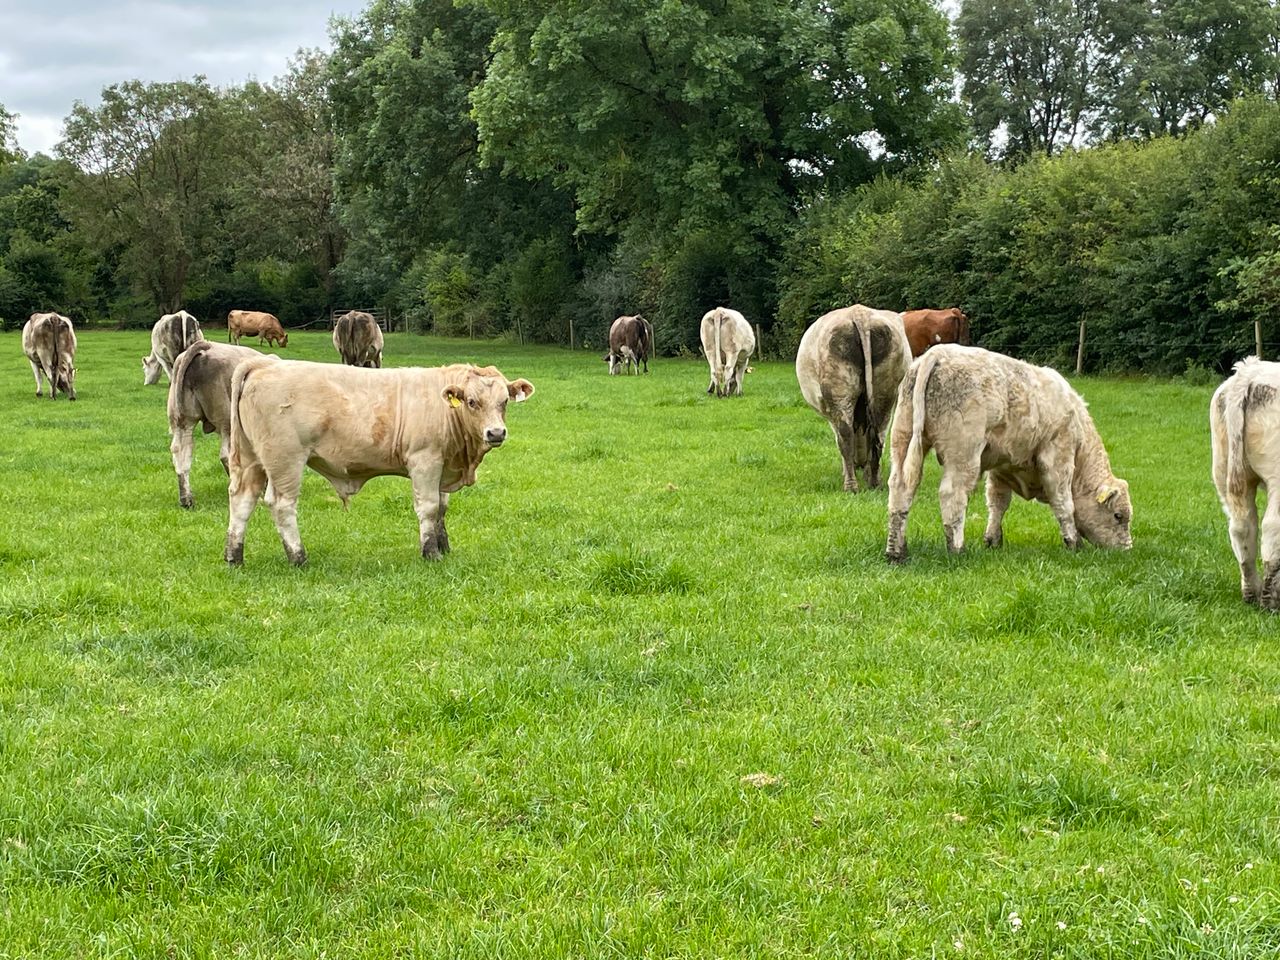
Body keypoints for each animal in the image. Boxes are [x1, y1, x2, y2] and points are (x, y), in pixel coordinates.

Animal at [166, 340, 262, 509]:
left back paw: (186, 499)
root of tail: (207, 346)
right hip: (227, 420)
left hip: (182, 420)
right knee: (226, 455)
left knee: (181, 452)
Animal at [224, 359, 534, 565]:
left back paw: (234, 556)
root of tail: (265, 362)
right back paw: (298, 557)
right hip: (285, 460)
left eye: (504, 401)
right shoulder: (425, 460)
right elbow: (429, 507)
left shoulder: (444, 464)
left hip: (252, 460)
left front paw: (444, 546)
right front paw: (430, 552)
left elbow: (442, 508)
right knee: (281, 505)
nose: (496, 433)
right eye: (471, 402)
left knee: (242, 500)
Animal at [796, 304, 912, 492]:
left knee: (846, 436)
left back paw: (851, 485)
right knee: (878, 437)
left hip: (839, 390)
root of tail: (859, 313)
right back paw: (874, 482)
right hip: (886, 393)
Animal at [885, 345, 1132, 562]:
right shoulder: (1057, 457)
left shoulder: (1001, 467)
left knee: (900, 488)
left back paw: (896, 552)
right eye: (1118, 516)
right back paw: (957, 550)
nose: (1127, 550)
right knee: (952, 495)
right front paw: (1073, 543)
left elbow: (998, 503)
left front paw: (992, 540)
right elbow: (1064, 503)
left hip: (902, 439)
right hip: (963, 455)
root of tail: (938, 353)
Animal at [1210, 357, 1280, 608]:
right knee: (1272, 526)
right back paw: (1271, 601)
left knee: (1241, 526)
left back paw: (1252, 593)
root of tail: (1249, 373)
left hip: (1223, 469)